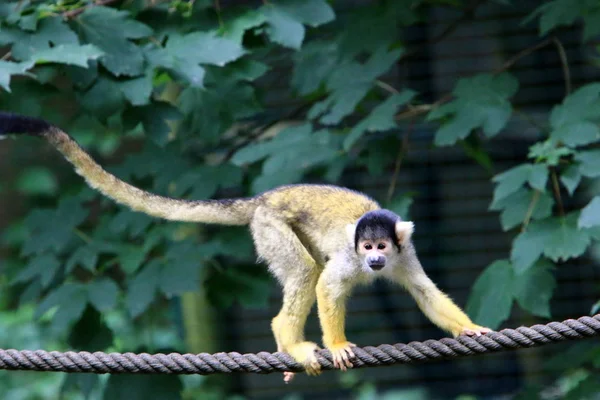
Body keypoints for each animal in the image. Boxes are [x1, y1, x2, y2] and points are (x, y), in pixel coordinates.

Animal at [0, 111, 490, 382]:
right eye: (367, 246)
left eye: (382, 246)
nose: (373, 259)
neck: (377, 259)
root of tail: (261, 200)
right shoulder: (349, 258)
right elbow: (329, 285)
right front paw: (336, 344)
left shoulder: (407, 252)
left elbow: (424, 292)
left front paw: (469, 329)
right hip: (271, 227)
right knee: (306, 272)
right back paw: (290, 342)